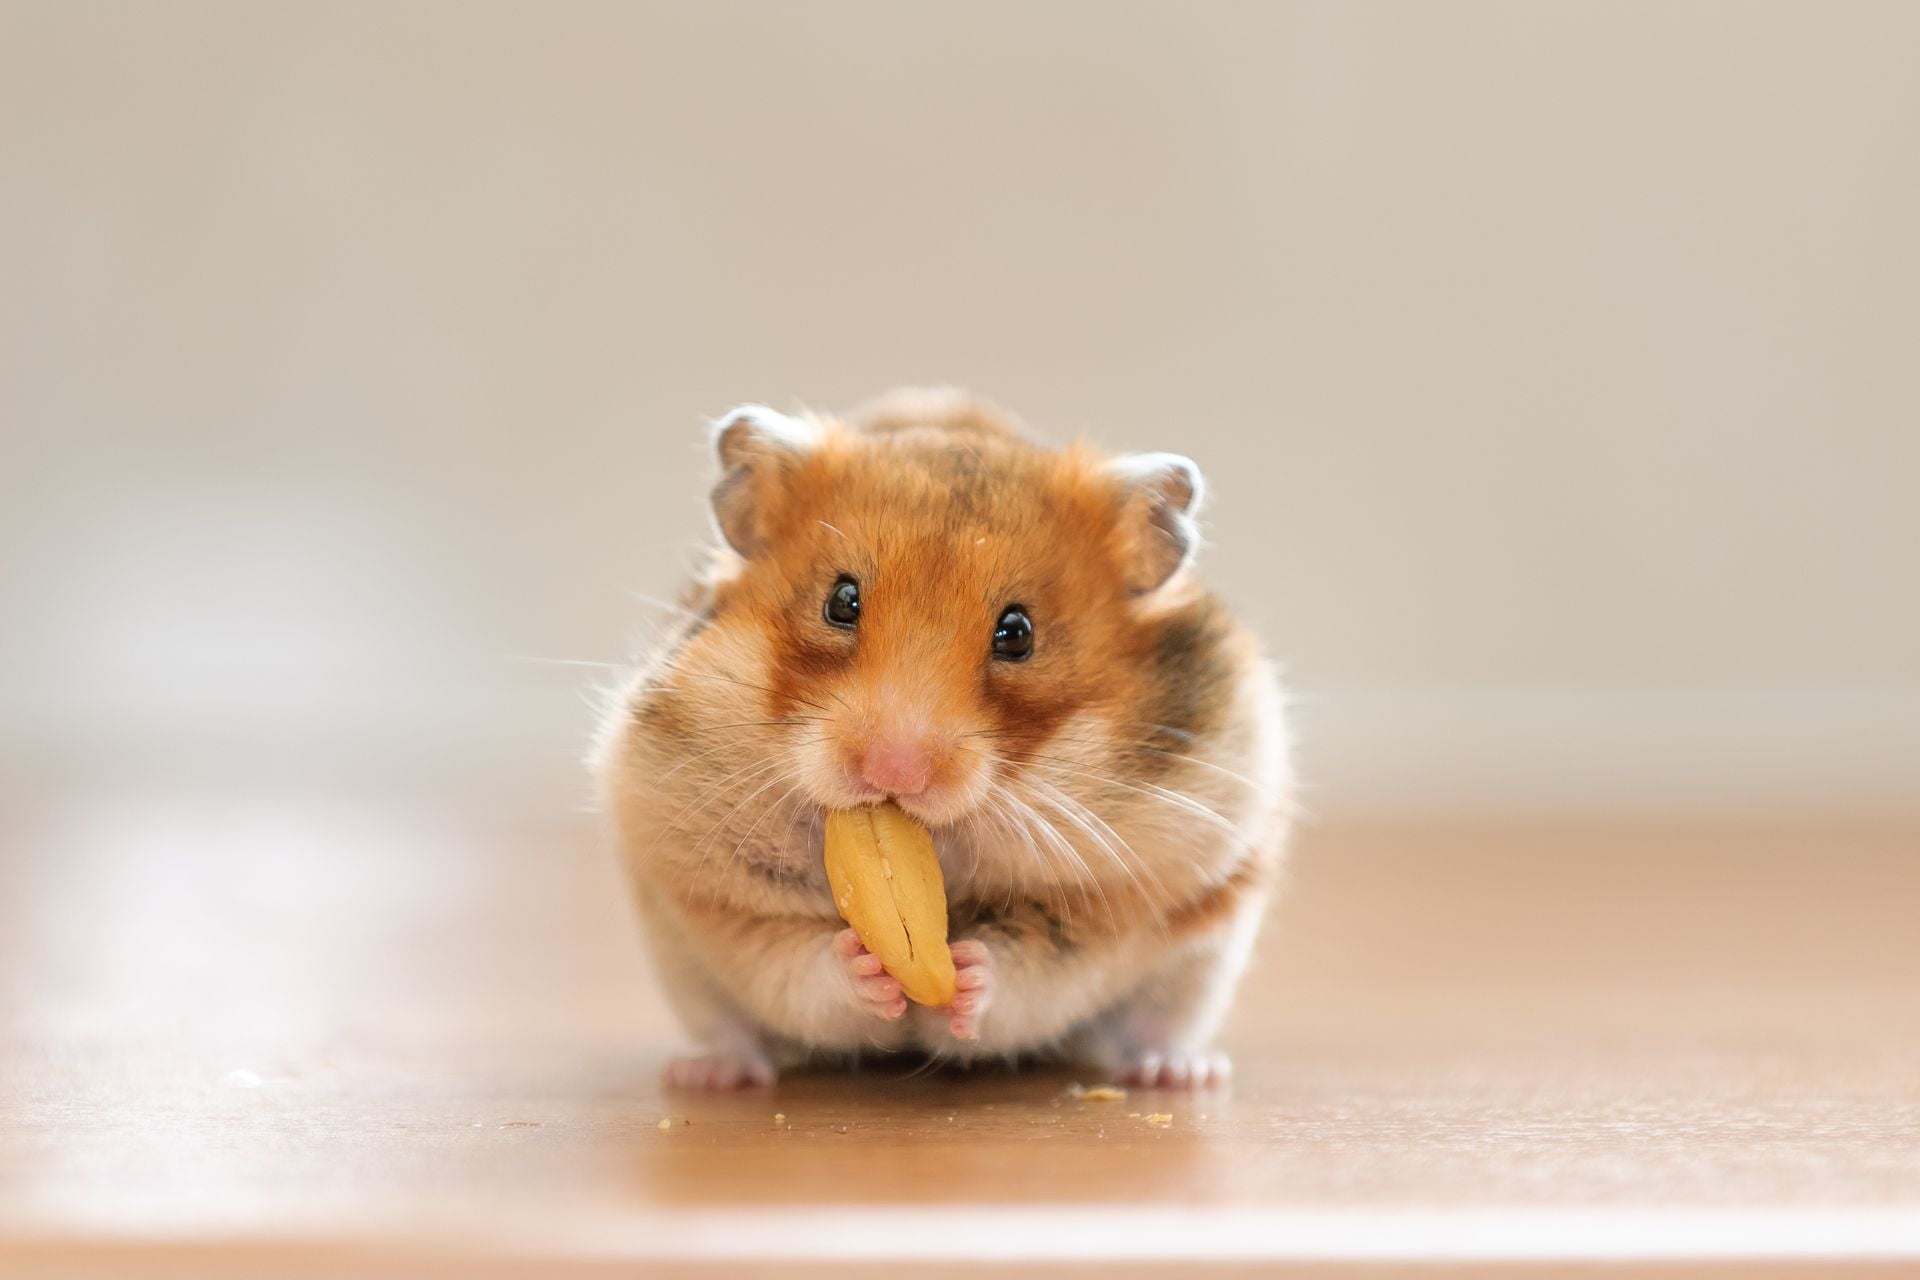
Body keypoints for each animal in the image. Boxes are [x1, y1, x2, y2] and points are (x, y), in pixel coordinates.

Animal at [591, 385, 1297, 1090]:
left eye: (1018, 633)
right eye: (840, 601)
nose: (893, 774)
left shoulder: (1117, 900)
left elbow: (1034, 969)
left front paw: (966, 974)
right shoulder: (714, 891)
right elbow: (796, 961)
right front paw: (864, 966)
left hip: (1202, 963)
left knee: (1155, 1026)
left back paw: (1180, 1073)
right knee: (730, 1027)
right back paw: (708, 1075)